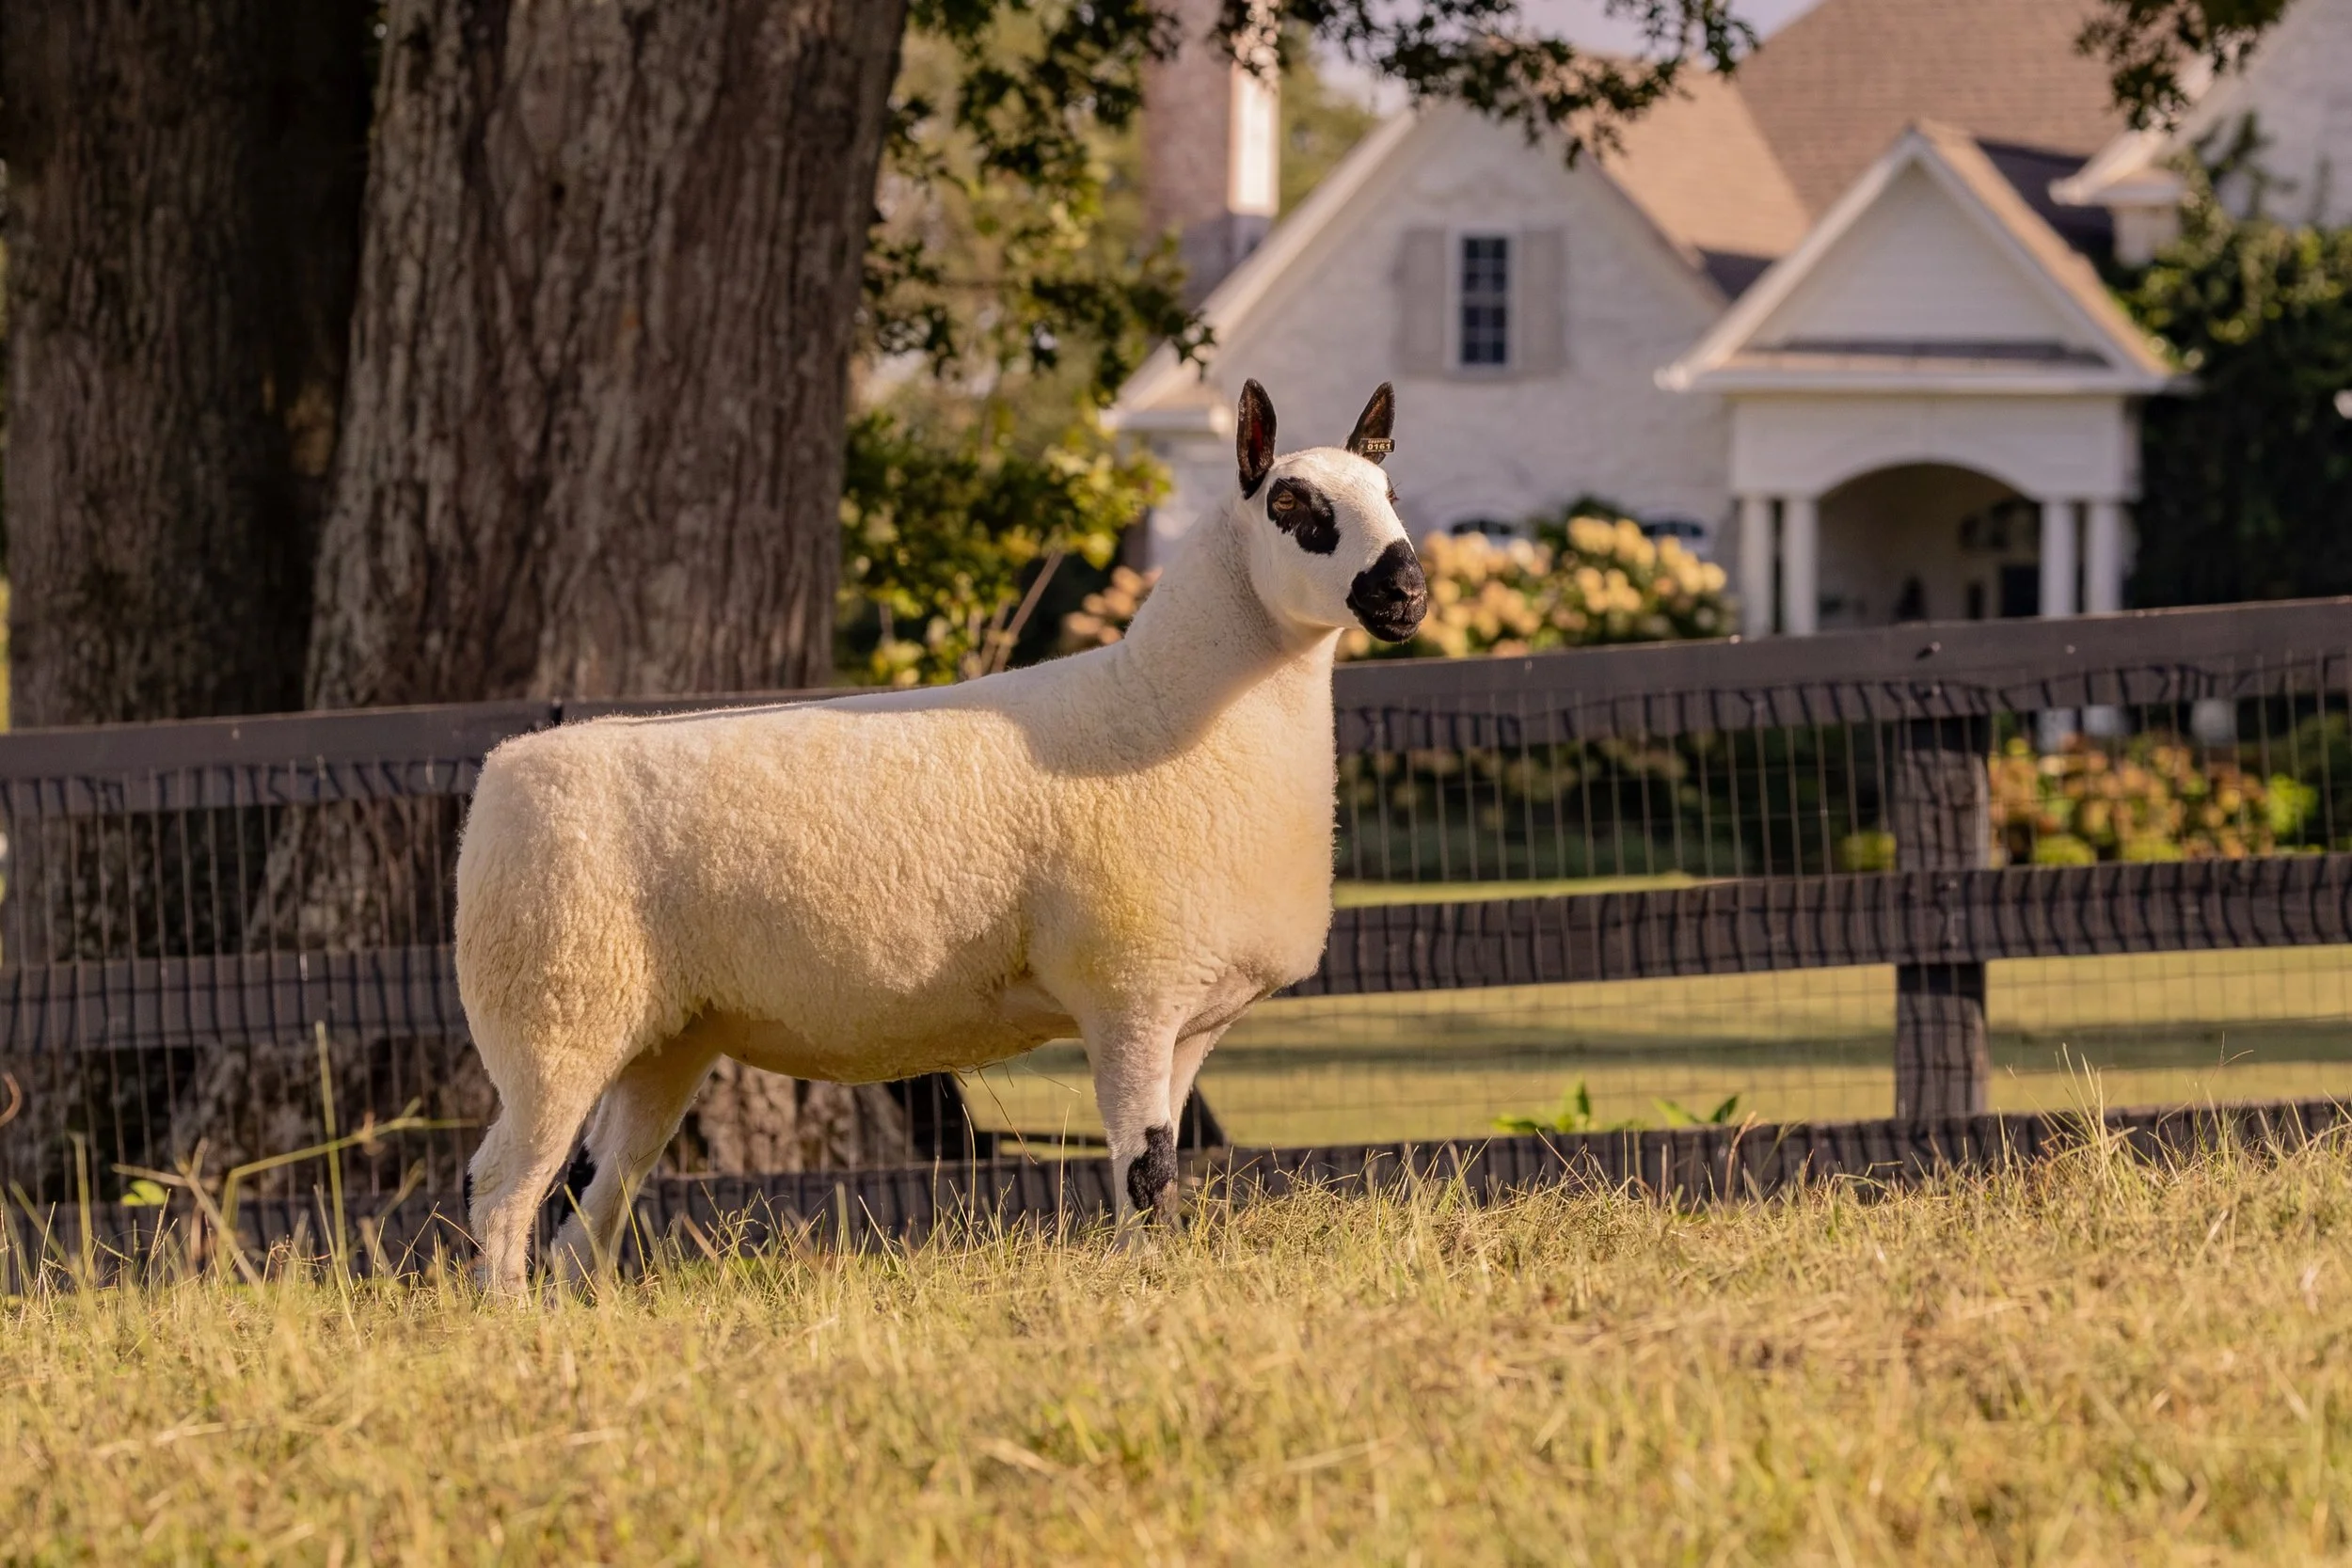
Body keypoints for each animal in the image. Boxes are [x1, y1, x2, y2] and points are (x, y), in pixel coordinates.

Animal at [454, 380, 1428, 1292]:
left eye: (1391, 490)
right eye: (1292, 504)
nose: (1406, 591)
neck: (1166, 705)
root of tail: (505, 766)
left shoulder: (1189, 1013)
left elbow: (1166, 1166)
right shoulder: (1130, 991)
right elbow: (1144, 1170)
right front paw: (1144, 1283)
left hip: (663, 1032)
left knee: (591, 1194)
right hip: (550, 1012)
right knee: (503, 1184)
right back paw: (509, 1321)